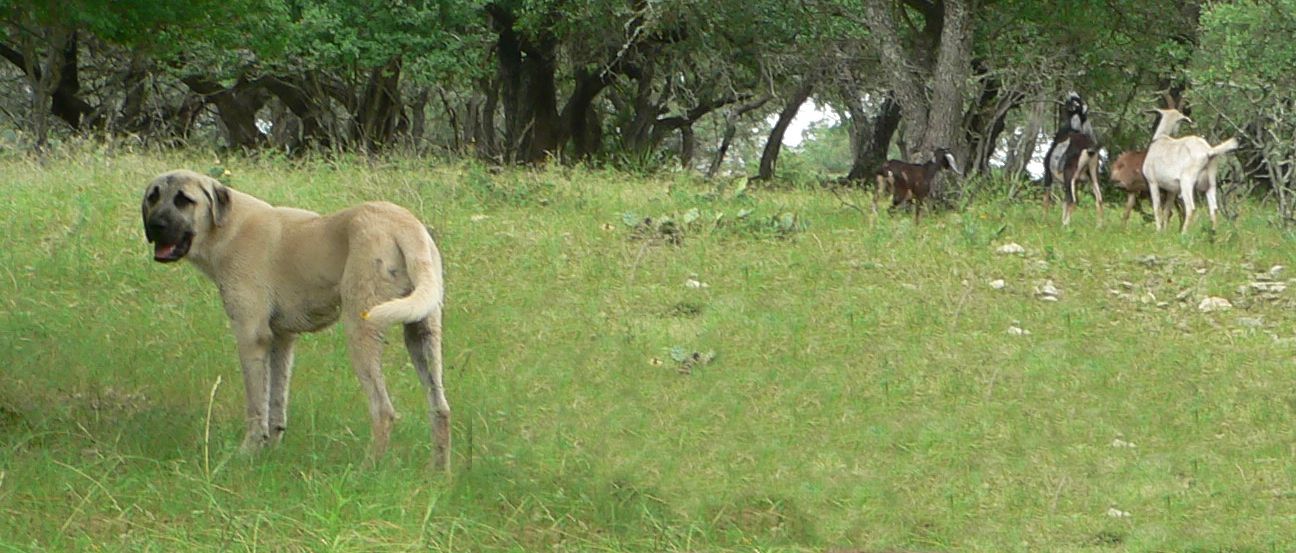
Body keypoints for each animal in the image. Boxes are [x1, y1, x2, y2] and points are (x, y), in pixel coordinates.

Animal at [141, 169, 451, 471]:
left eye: (184, 200)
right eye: (152, 197)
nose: (155, 225)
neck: (227, 227)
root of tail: (404, 224)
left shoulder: (250, 337)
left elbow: (256, 407)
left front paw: (247, 453)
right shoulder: (282, 340)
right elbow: (276, 405)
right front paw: (270, 453)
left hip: (361, 331)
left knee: (383, 411)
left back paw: (367, 469)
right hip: (423, 336)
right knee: (440, 409)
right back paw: (438, 474)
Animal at [1041, 91, 1104, 226]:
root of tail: (1089, 149)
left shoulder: (1048, 177)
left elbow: (1046, 200)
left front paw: (1044, 221)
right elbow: (1065, 201)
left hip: (1070, 176)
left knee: (1074, 201)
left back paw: (1065, 225)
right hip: (1093, 176)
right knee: (1099, 199)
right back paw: (1099, 227)